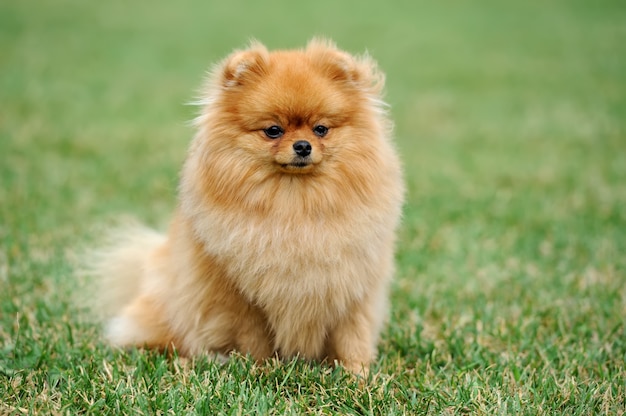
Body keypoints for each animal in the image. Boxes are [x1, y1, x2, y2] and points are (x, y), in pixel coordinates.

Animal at [92, 38, 404, 374]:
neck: (295, 204)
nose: (303, 146)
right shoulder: (242, 296)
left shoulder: (353, 286)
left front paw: (357, 374)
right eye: (273, 130)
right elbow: (254, 337)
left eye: (320, 129)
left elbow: (352, 335)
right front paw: (260, 370)